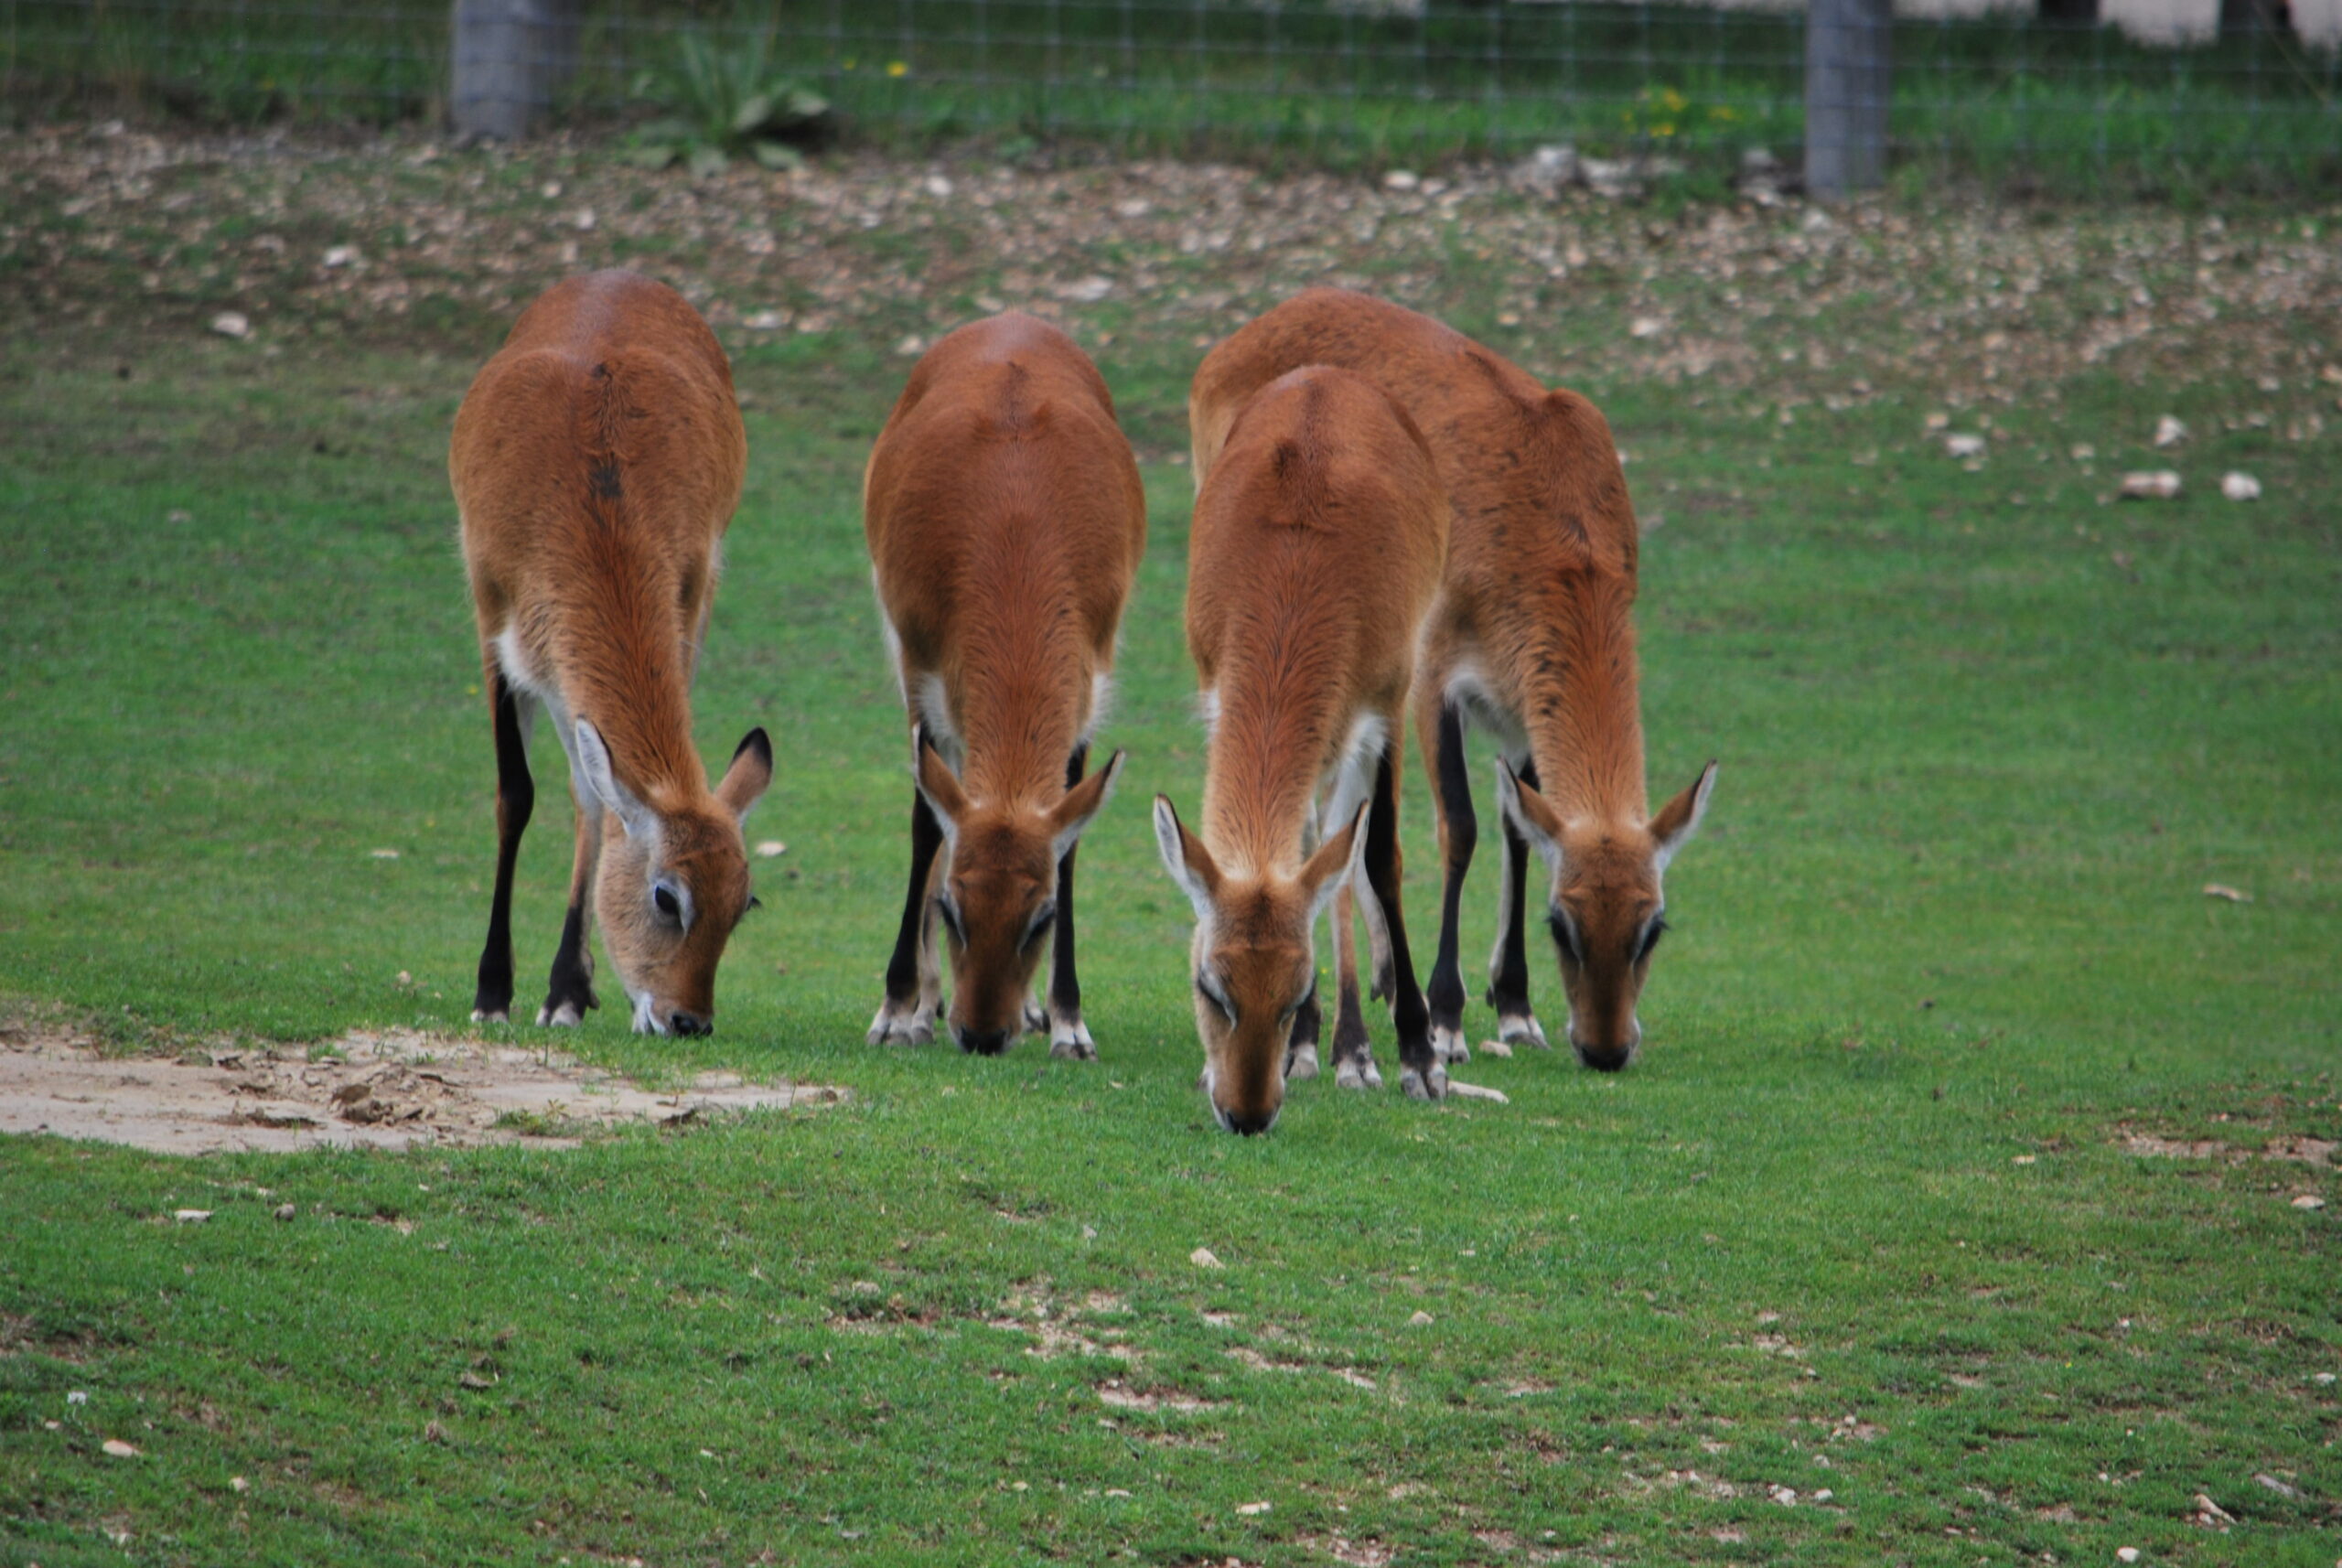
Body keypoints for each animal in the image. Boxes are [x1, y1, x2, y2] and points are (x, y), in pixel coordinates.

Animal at [451, 270, 772, 1039]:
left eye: (743, 903)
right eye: (667, 895)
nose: (689, 1020)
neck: (593, 497)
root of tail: (617, 277)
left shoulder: (690, 592)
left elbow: (594, 800)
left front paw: (569, 988)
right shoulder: (493, 618)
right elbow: (516, 794)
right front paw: (494, 990)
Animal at [863, 312, 1143, 1058]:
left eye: (1039, 917)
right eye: (952, 909)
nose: (983, 1032)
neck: (1017, 528)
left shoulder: (1088, 687)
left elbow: (1070, 847)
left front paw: (1068, 1021)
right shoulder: (920, 673)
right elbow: (925, 830)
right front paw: (897, 1010)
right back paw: (924, 1008)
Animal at [1156, 363, 1450, 1133]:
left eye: (1293, 990)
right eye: (1210, 985)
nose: (1247, 1113)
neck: (1296, 570)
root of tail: (1324, 374)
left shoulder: (1386, 702)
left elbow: (1378, 859)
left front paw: (1419, 1058)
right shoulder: (1217, 688)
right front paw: (1302, 1050)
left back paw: (1362, 1047)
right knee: (1321, 837)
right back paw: (1336, 1046)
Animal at [1191, 289, 1715, 1074]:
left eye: (1653, 926)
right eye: (1562, 924)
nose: (1606, 1046)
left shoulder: (1520, 709)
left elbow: (1518, 827)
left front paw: (1517, 1008)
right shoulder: (1432, 676)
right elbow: (1459, 827)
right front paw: (1444, 1019)